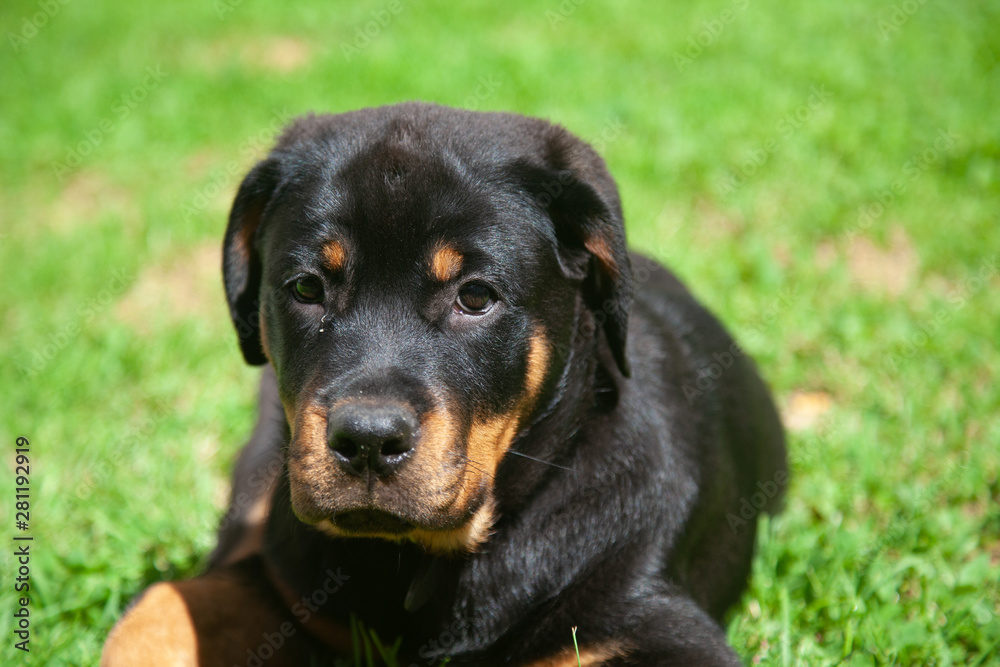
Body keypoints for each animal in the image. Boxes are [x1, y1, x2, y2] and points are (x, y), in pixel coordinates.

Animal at [103, 103, 788, 667]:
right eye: (305, 288)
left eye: (476, 297)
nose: (368, 441)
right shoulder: (286, 581)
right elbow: (159, 607)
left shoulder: (645, 618)